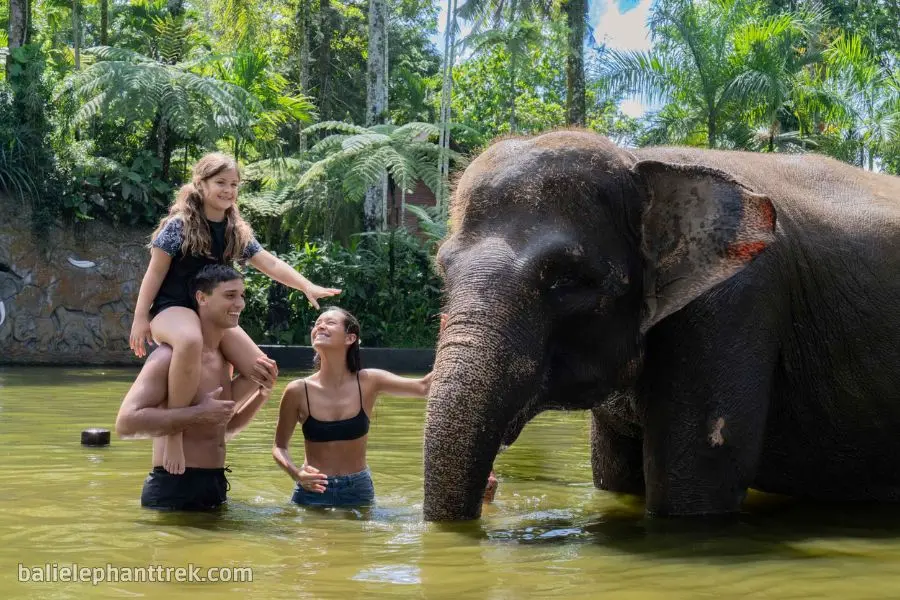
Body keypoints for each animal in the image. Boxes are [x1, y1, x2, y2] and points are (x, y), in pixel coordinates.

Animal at [423, 129, 900, 521]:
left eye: (567, 278)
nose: (492, 487)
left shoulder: (731, 307)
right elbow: (614, 477)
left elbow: (699, 479)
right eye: (442, 269)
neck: (640, 162)